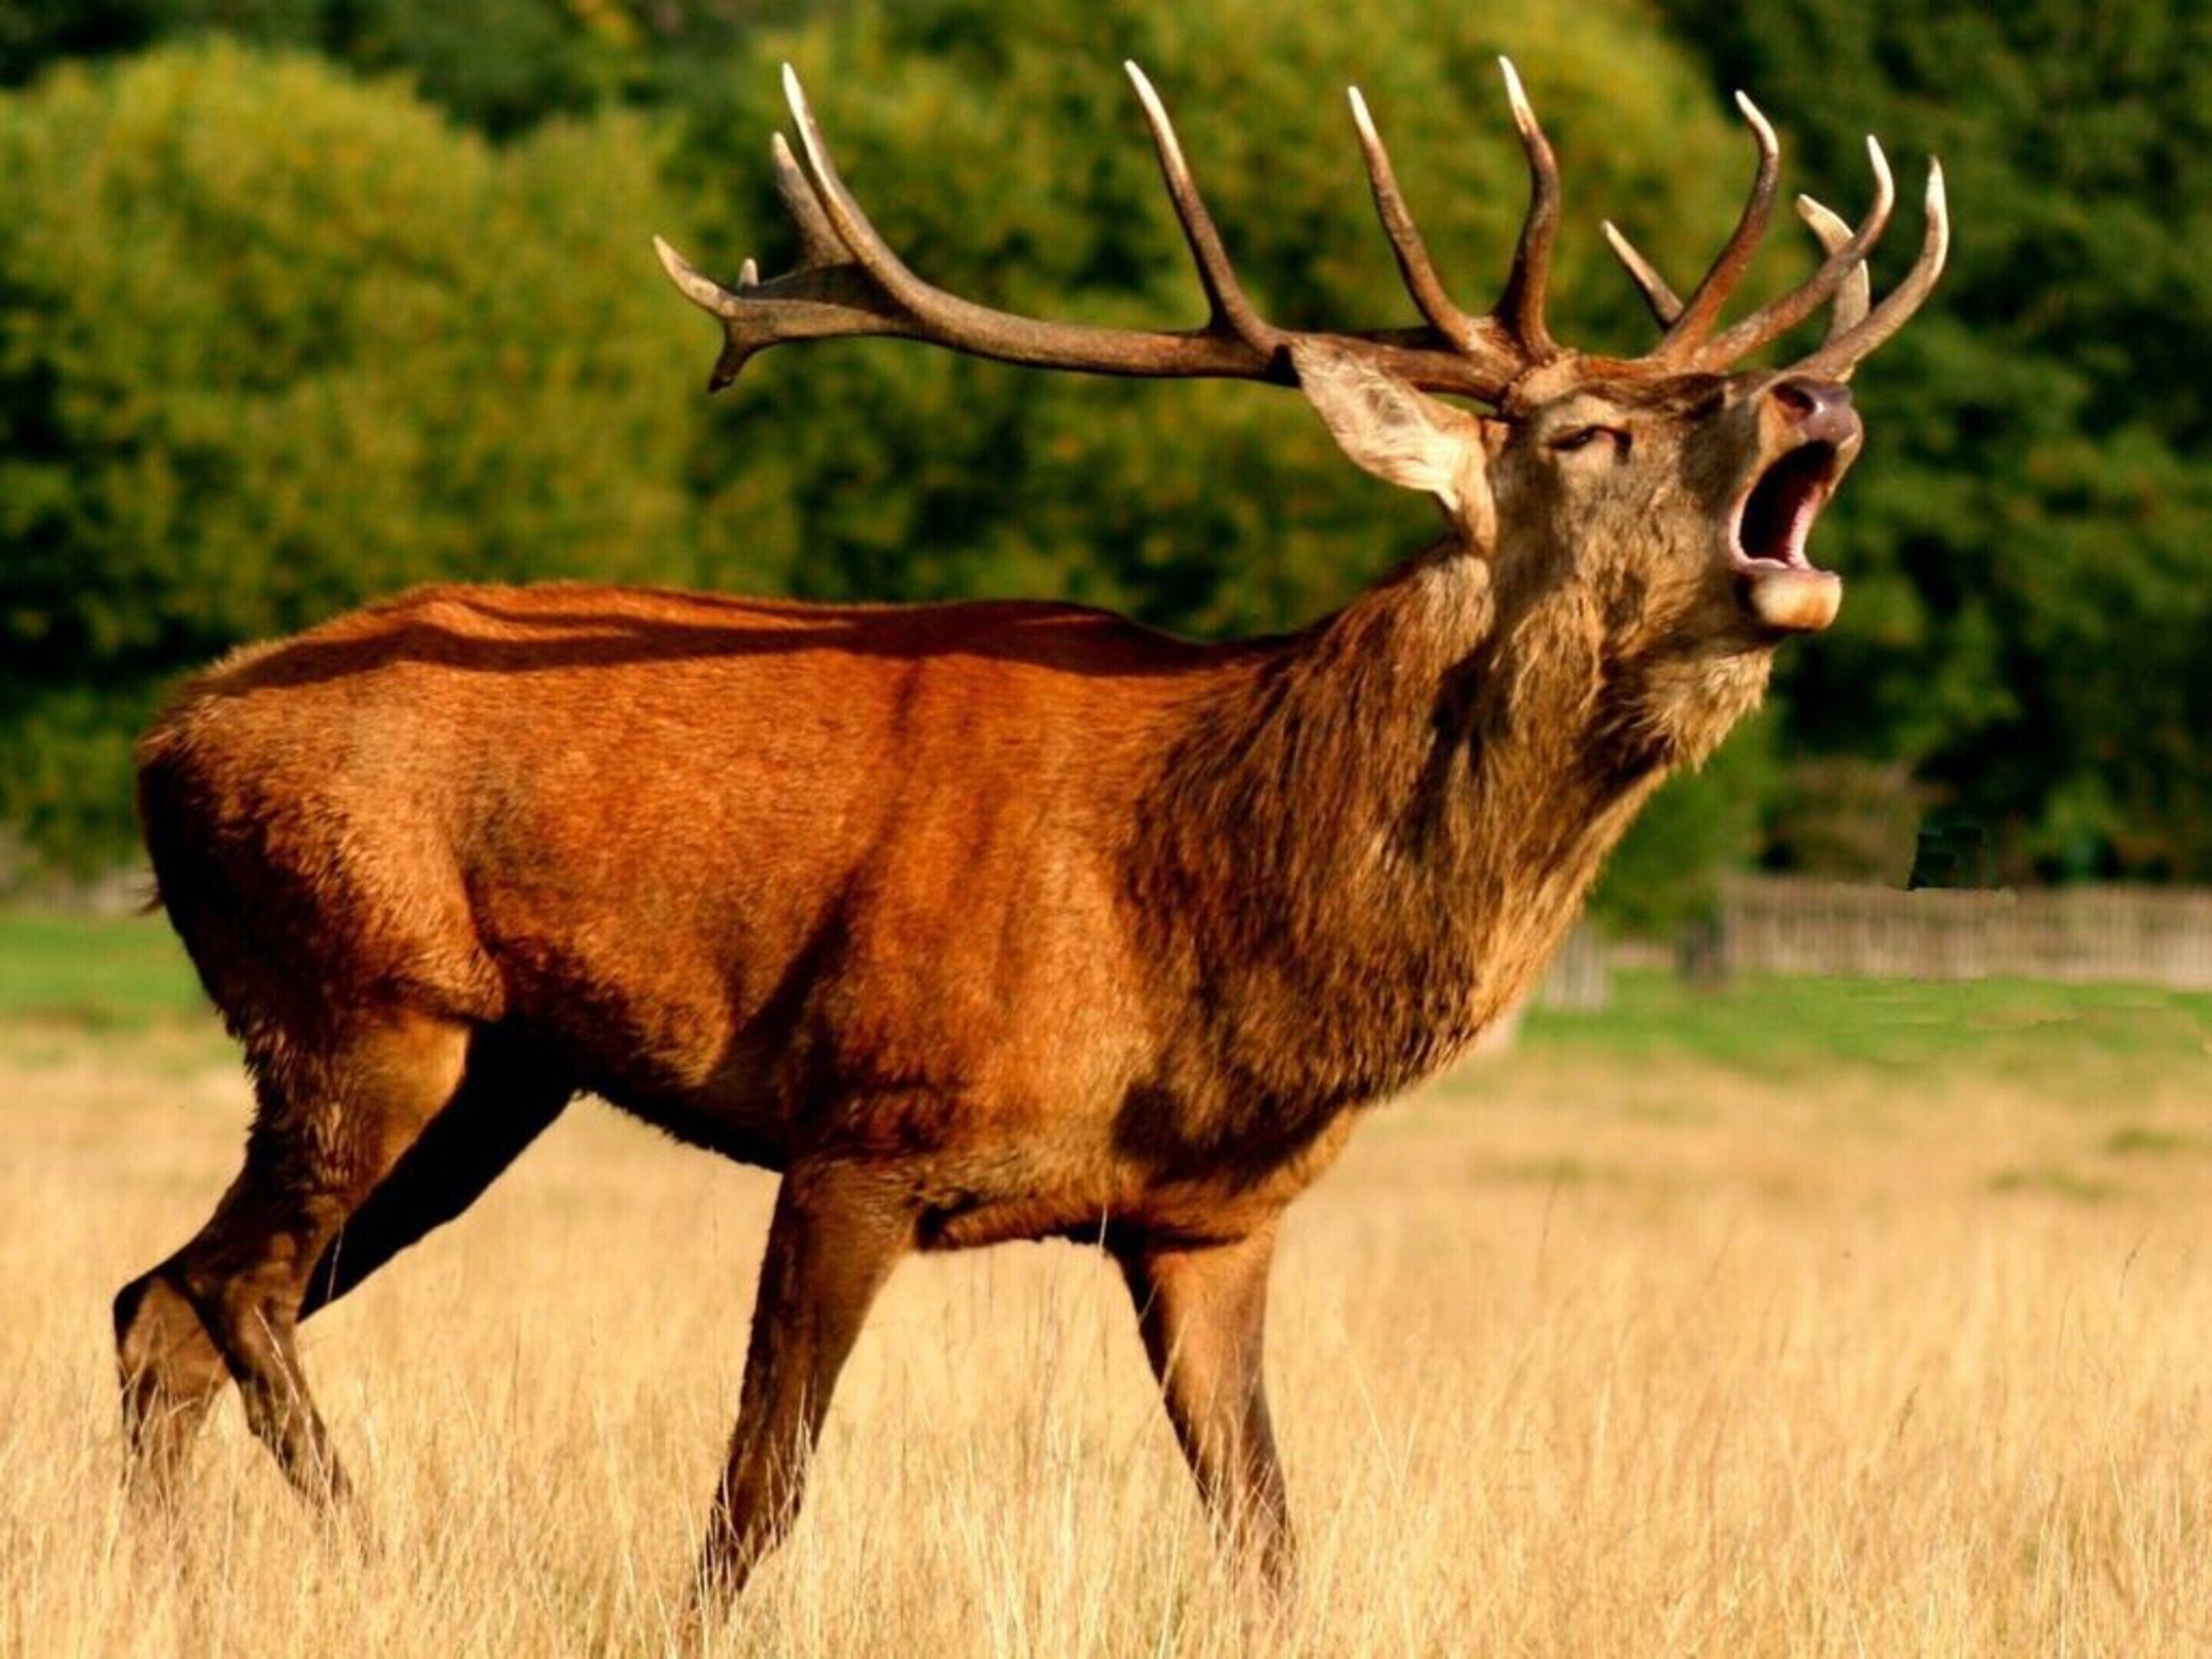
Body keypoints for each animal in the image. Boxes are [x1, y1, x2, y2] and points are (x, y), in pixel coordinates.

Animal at [115, 59, 1944, 1604]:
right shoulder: (863, 1121)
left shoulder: (1212, 1219)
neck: (1210, 924)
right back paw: (368, 1545)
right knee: (228, 1290)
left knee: (159, 1305)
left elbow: (1267, 1535)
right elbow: (756, 1499)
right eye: (1585, 431)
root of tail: (165, 739)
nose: (1813, 398)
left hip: (498, 1072)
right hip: (357, 997)